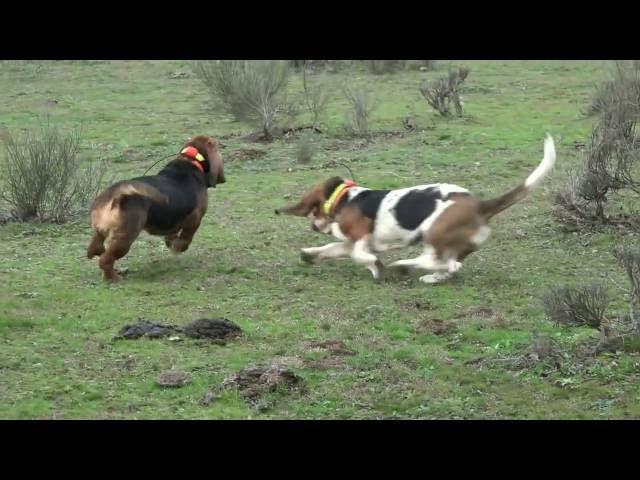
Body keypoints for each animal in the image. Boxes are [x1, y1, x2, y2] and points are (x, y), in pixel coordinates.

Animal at [85, 135, 225, 282]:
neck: (191, 160)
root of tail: (114, 196)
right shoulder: (195, 219)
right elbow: (186, 238)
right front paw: (178, 247)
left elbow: (172, 234)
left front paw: (171, 243)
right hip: (124, 238)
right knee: (105, 260)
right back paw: (113, 278)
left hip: (101, 232)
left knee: (96, 248)